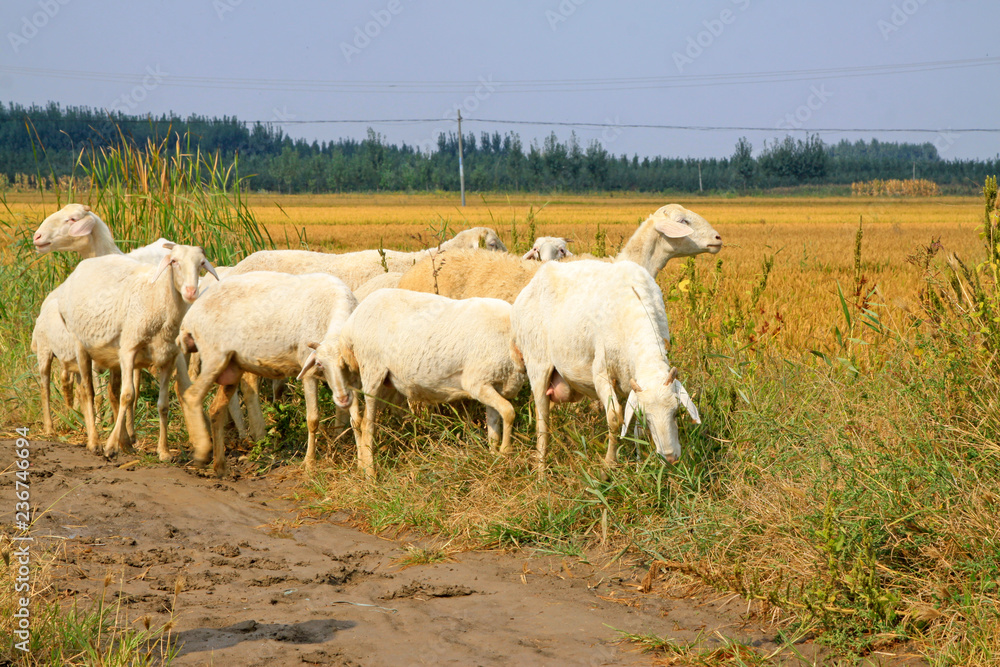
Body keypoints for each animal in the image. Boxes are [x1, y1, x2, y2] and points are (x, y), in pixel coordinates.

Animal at [58, 243, 218, 460]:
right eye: (174, 262)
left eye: (201, 263)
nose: (191, 292)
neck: (157, 299)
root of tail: (81, 267)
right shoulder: (128, 349)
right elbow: (128, 395)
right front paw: (110, 446)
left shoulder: (168, 358)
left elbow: (163, 405)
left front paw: (164, 451)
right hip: (80, 343)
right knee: (87, 391)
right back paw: (95, 442)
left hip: (112, 354)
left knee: (112, 392)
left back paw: (125, 442)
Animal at [177, 271, 357, 477]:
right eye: (320, 364)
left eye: (345, 363)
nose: (342, 398)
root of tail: (190, 316)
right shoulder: (308, 371)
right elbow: (313, 419)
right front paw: (309, 463)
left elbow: (357, 420)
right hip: (213, 356)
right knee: (192, 395)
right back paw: (202, 451)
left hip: (231, 366)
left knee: (216, 408)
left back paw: (220, 466)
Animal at [312, 288, 526, 477]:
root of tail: (351, 324)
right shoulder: (476, 383)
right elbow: (509, 412)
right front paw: (506, 452)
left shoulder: (492, 384)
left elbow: (494, 426)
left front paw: (495, 458)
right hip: (372, 368)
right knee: (367, 424)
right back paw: (370, 475)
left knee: (358, 421)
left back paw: (362, 468)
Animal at [510, 259, 700, 472]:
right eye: (648, 416)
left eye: (676, 412)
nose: (670, 458)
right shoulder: (602, 373)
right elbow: (615, 417)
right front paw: (609, 465)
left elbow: (636, 428)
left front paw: (640, 464)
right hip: (537, 363)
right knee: (542, 418)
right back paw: (541, 469)